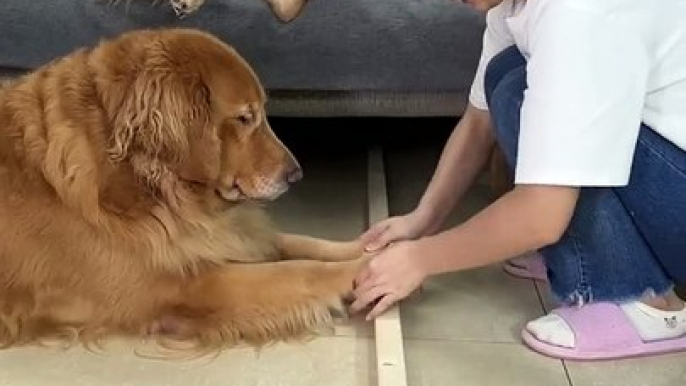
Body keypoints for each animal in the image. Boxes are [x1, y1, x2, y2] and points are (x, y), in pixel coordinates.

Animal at [0, 27, 368, 352]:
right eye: (244, 117)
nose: (296, 174)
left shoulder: (206, 238)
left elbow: (297, 242)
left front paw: (364, 247)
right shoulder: (189, 284)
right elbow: (300, 270)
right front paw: (361, 269)